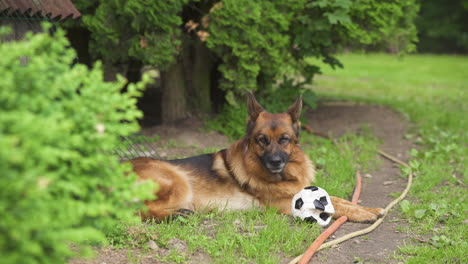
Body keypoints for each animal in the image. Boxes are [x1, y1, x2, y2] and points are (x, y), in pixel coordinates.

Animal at [131, 93, 384, 223]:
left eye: (284, 139)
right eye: (262, 140)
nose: (275, 162)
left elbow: (337, 199)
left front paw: (369, 208)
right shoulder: (286, 203)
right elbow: (335, 207)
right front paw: (362, 214)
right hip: (178, 180)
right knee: (138, 212)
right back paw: (176, 214)